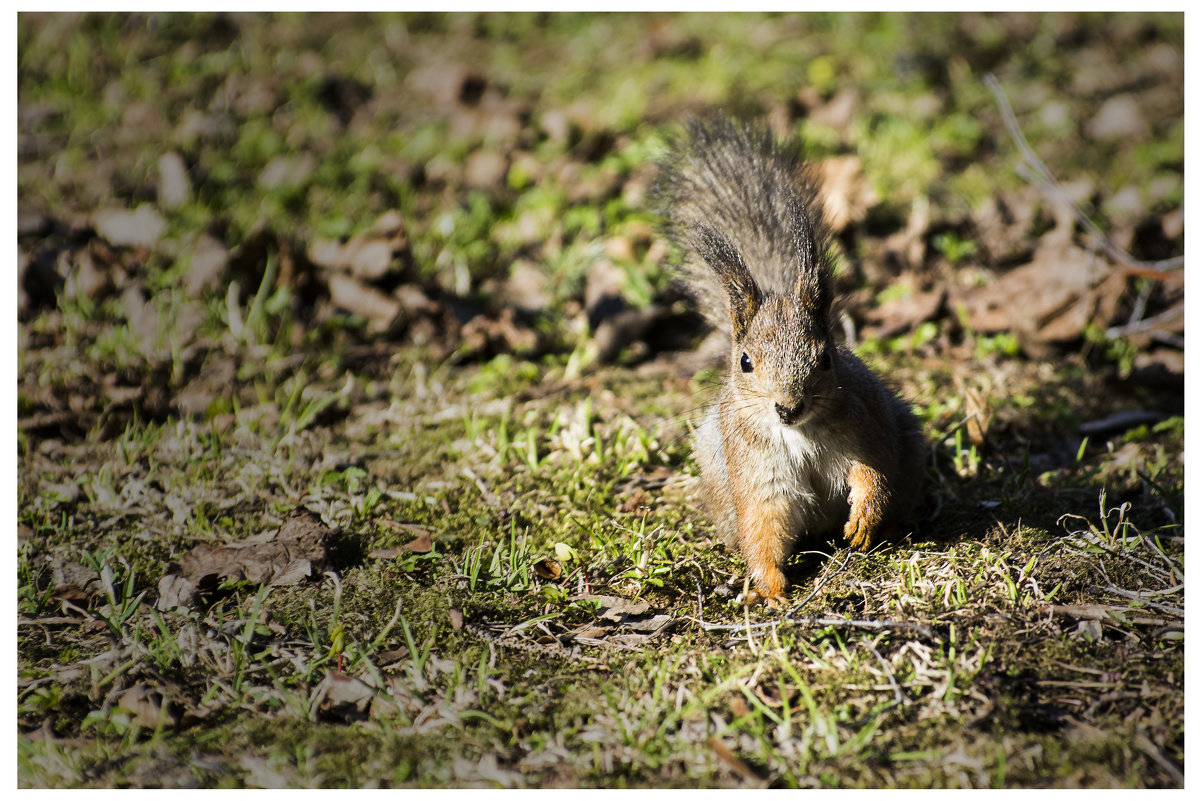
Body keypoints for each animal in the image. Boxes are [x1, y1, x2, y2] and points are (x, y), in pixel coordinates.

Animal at [653, 117, 923, 606]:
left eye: (825, 358)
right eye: (744, 362)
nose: (787, 407)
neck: (799, 433)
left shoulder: (864, 427)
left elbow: (873, 473)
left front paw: (864, 518)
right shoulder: (755, 466)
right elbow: (763, 522)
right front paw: (770, 588)